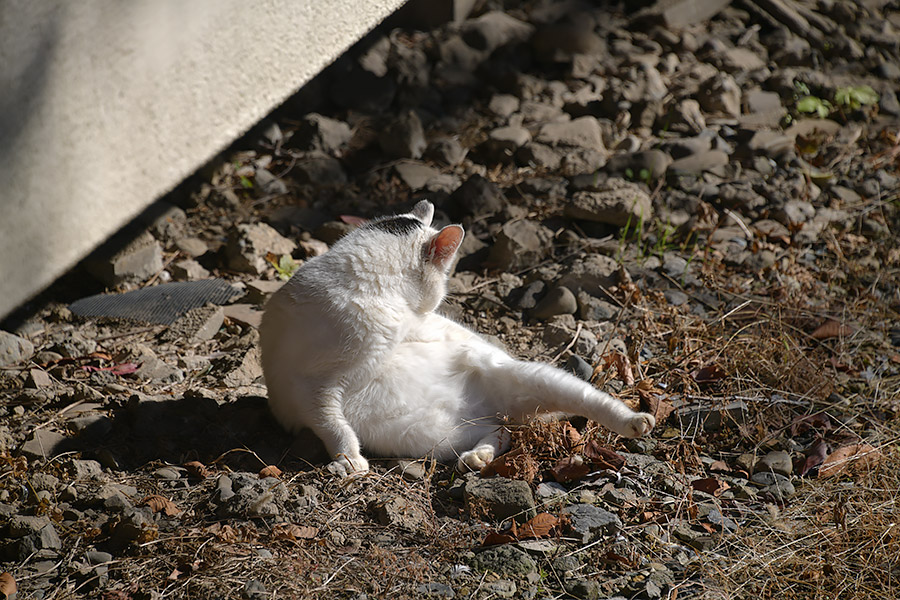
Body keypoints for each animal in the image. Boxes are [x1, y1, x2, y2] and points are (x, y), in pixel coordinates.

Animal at [260, 202, 652, 478]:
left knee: (591, 400)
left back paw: (635, 421)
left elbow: (333, 423)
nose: (437, 303)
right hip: (437, 436)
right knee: (501, 432)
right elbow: (335, 425)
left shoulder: (324, 387)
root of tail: (505, 407)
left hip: (529, 376)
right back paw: (478, 457)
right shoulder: (317, 390)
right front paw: (349, 459)